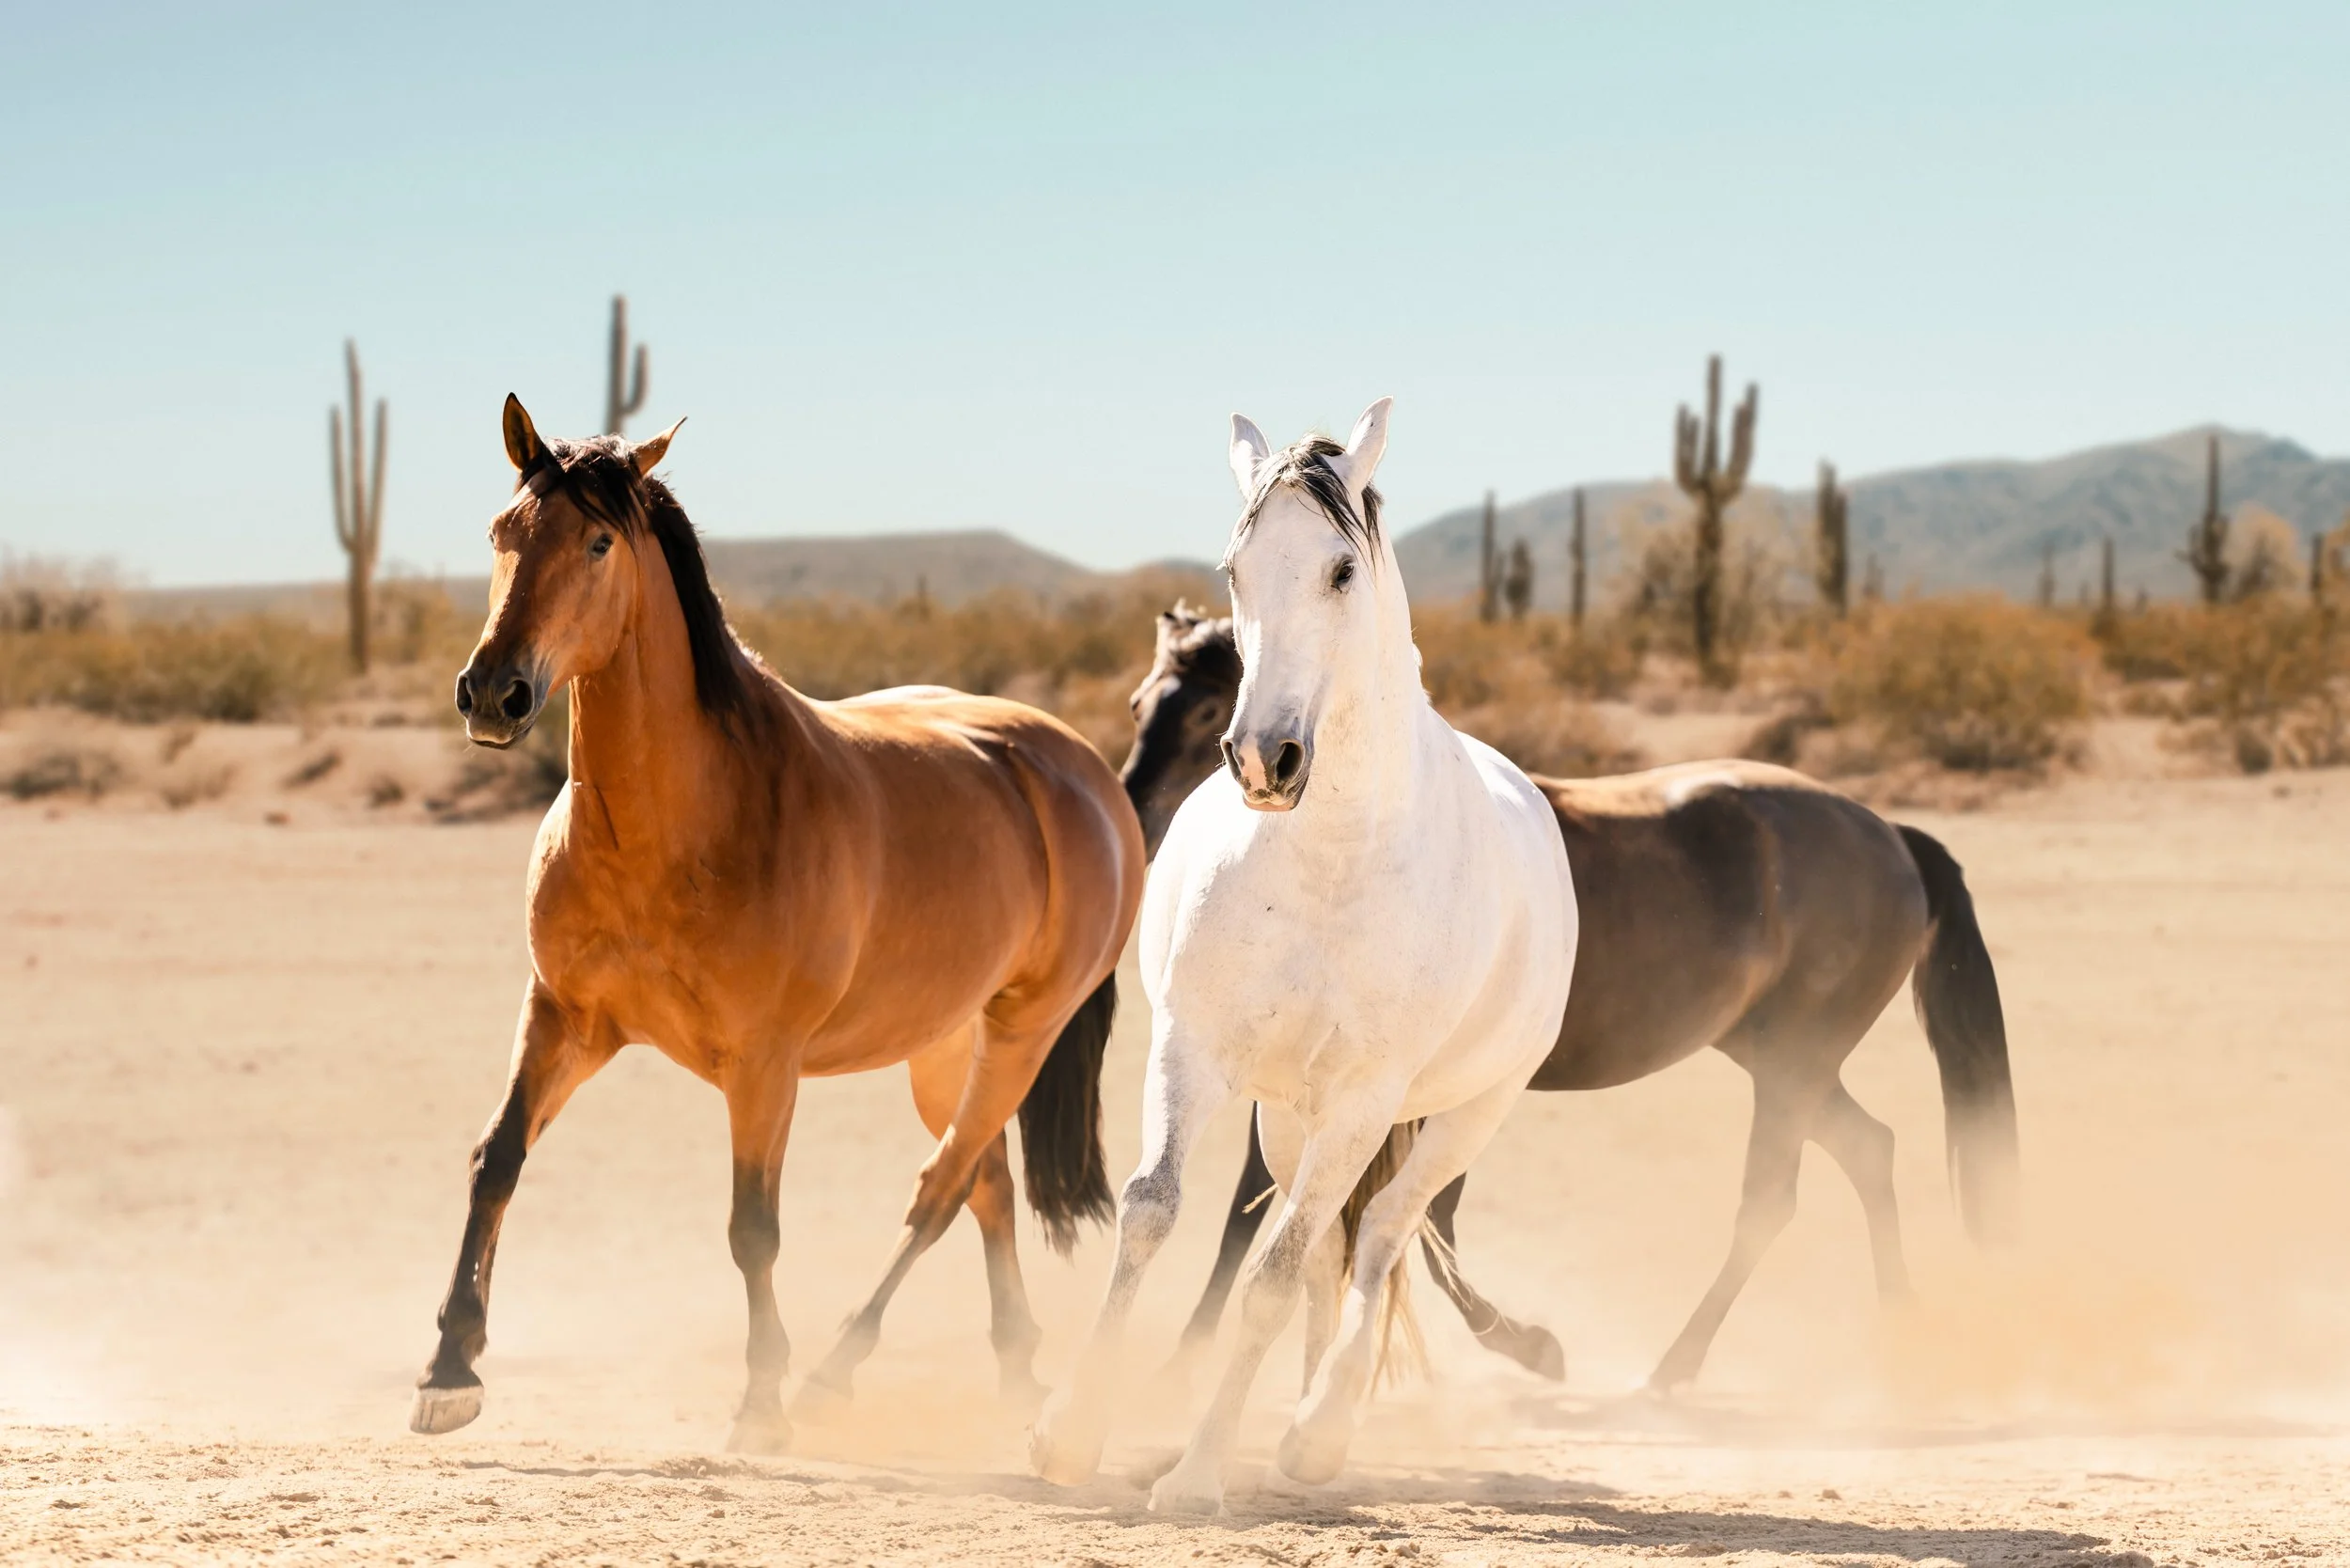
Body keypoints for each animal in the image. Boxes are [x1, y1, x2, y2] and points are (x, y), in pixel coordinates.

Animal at [408, 398, 1144, 1454]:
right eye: (503, 532)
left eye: (597, 542)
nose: (493, 694)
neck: (676, 828)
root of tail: (1080, 767)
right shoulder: (563, 1020)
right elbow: (495, 1160)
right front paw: (449, 1367)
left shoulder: (763, 1065)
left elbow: (752, 1226)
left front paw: (760, 1399)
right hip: (940, 1047)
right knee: (987, 1186)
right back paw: (1010, 1365)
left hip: (1021, 1034)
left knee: (941, 1188)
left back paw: (834, 1372)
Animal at [1031, 400, 1580, 1514]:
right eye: (1236, 569)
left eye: (1340, 570)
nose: (1262, 760)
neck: (1330, 863)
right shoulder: (1191, 1051)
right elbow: (1152, 1213)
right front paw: (1072, 1429)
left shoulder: (1368, 1101)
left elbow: (1270, 1278)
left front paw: (1196, 1476)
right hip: (1289, 1116)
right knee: (1328, 1242)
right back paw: (1291, 1416)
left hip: (1461, 1113)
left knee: (1381, 1232)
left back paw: (1319, 1429)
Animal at [1119, 607, 2020, 1394]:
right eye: (1137, 704)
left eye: (1205, 707)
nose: (1134, 819)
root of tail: (1892, 837)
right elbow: (1292, 1211)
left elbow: (1391, 1221)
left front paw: (1528, 1345)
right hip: (1777, 1058)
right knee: (1869, 1149)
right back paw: (1896, 1330)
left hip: (1793, 1066)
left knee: (1773, 1199)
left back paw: (1680, 1366)